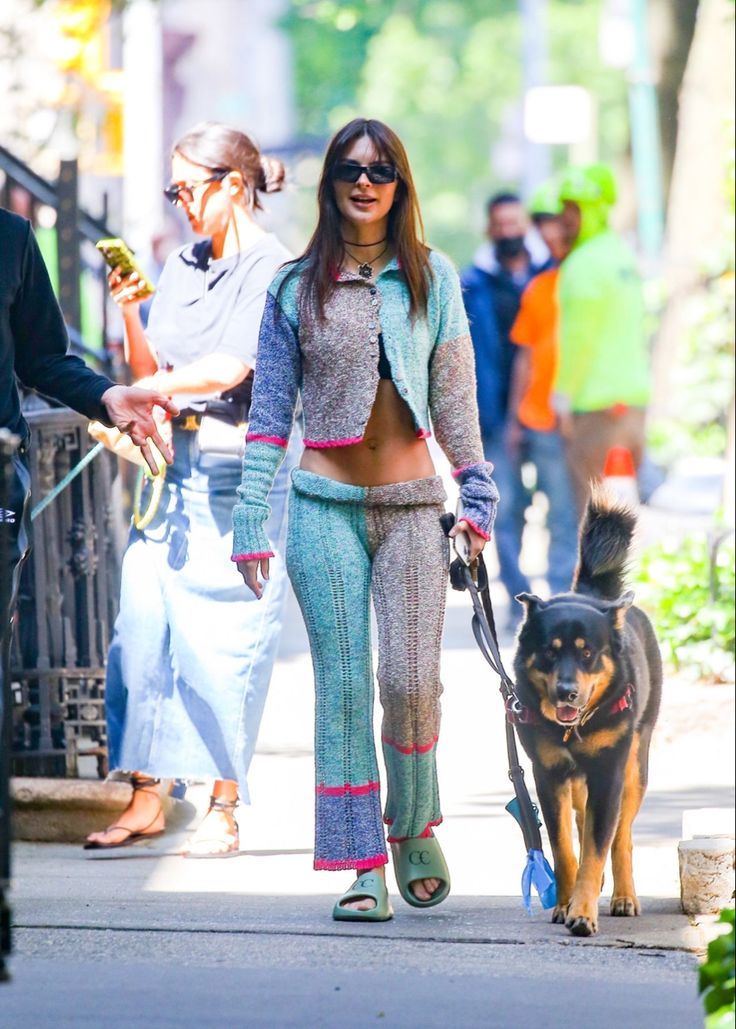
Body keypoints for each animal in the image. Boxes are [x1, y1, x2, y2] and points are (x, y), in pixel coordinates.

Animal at [512, 485, 662, 938]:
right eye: (549, 652)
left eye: (588, 654)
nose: (567, 693)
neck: (574, 729)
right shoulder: (548, 774)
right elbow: (564, 847)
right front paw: (565, 903)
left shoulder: (609, 772)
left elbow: (600, 843)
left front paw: (582, 912)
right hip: (579, 780)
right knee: (582, 822)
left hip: (634, 766)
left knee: (621, 835)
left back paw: (623, 895)